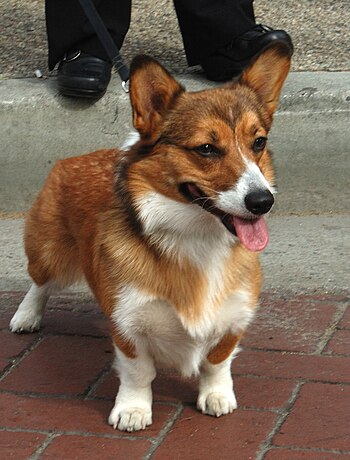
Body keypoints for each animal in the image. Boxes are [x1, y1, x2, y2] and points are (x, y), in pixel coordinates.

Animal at [9, 48, 292, 434]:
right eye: (206, 149)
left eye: (258, 142)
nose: (263, 201)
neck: (196, 237)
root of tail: (77, 156)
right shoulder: (128, 322)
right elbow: (138, 371)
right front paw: (132, 410)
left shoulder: (236, 315)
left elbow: (217, 360)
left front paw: (217, 396)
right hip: (50, 253)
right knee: (39, 283)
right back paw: (26, 317)